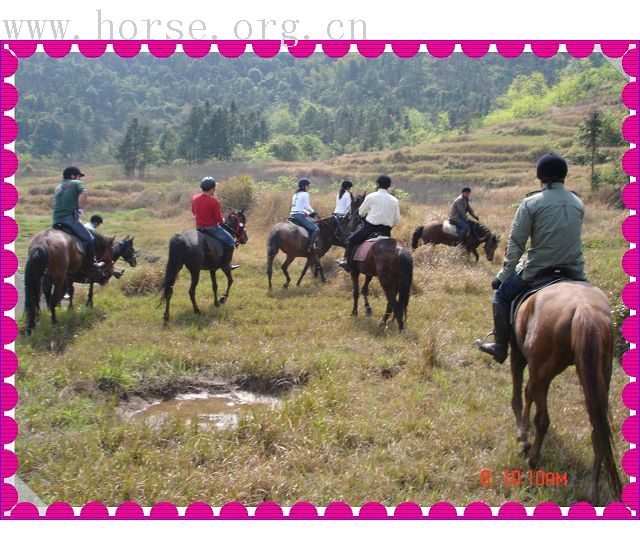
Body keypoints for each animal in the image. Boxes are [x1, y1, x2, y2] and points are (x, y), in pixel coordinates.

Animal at [510, 280, 620, 504]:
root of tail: (583, 310)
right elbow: (527, 391)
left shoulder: (519, 353)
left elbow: (520, 389)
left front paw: (522, 433)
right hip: (600, 374)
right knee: (598, 430)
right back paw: (593, 492)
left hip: (543, 369)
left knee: (542, 418)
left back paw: (533, 460)